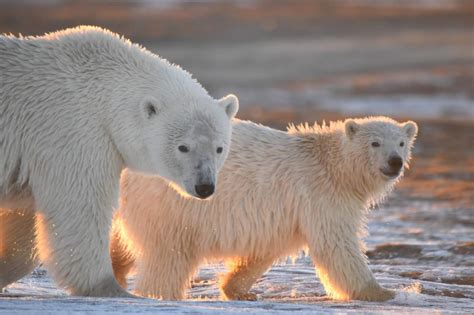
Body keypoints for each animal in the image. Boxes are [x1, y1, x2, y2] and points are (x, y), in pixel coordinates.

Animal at [0, 25, 237, 298]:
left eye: (219, 148)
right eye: (183, 147)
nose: (205, 186)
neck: (100, 89)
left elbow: (23, 222)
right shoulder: (73, 133)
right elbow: (80, 207)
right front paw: (113, 288)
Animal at [113, 117, 416, 302]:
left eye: (401, 143)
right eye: (375, 142)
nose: (395, 161)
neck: (332, 165)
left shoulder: (281, 213)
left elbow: (263, 250)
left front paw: (239, 291)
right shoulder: (321, 195)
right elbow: (337, 245)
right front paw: (387, 292)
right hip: (171, 207)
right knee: (169, 256)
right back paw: (159, 294)